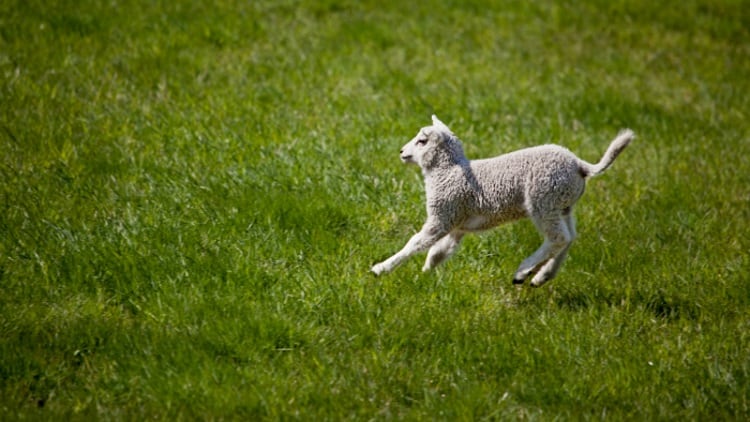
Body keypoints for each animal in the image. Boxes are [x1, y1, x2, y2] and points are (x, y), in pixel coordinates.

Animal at [371, 115, 634, 287]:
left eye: (422, 141)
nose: (402, 152)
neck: (448, 170)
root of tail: (580, 165)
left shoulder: (443, 215)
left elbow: (416, 242)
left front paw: (381, 268)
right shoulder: (457, 224)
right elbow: (440, 251)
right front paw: (426, 271)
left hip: (543, 201)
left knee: (558, 238)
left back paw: (523, 272)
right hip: (563, 204)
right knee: (569, 237)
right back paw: (541, 276)